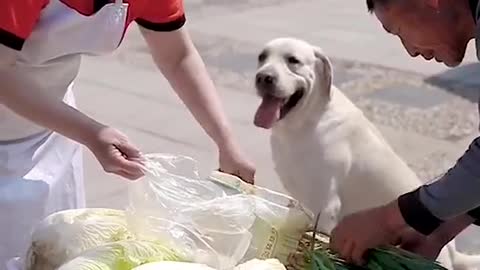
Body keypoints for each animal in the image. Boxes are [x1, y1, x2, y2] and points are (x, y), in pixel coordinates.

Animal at [251, 37, 480, 270]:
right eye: (262, 57)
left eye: (293, 60)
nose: (263, 77)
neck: (306, 121)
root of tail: (453, 254)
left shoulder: (325, 208)